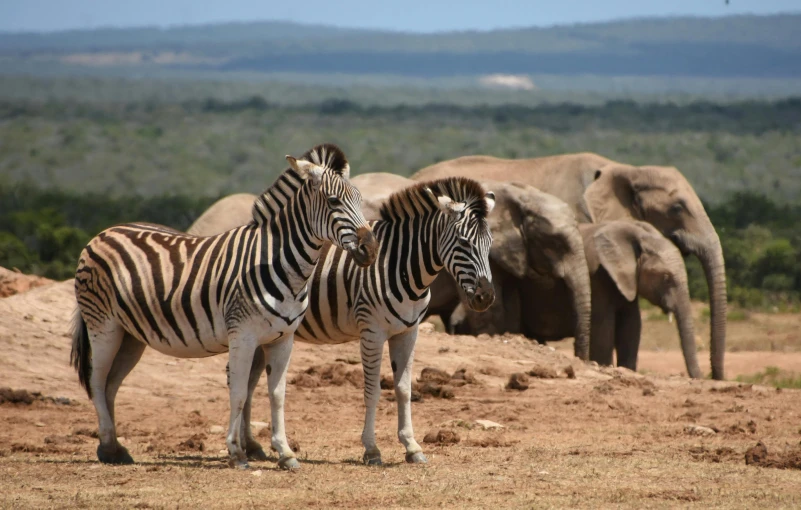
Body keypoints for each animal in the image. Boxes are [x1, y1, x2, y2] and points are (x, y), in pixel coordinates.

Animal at [71, 143, 378, 470]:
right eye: (334, 201)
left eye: (360, 199)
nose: (370, 250)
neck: (279, 261)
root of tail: (103, 233)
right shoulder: (242, 335)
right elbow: (239, 392)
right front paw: (236, 452)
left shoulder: (283, 338)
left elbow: (278, 394)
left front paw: (285, 453)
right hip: (103, 325)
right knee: (96, 381)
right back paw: (106, 447)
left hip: (130, 335)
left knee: (110, 384)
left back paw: (116, 449)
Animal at [241, 178, 496, 466]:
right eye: (464, 243)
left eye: (490, 244)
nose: (486, 297)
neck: (401, 265)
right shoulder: (372, 331)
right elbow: (373, 391)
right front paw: (372, 449)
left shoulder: (409, 331)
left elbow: (404, 389)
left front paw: (412, 446)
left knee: (247, 383)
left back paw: (251, 446)